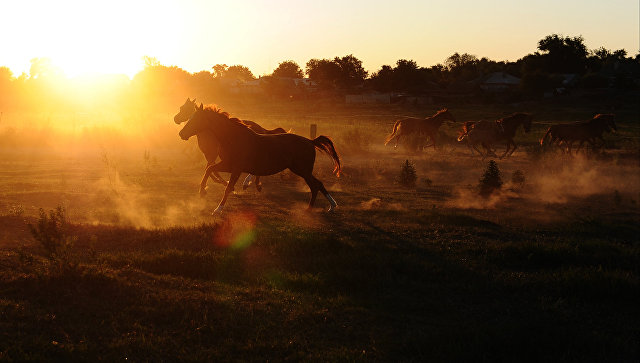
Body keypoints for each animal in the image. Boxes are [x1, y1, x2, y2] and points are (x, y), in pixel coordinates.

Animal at [178, 105, 342, 213]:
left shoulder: (236, 169)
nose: (181, 134)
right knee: (318, 184)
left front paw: (218, 209)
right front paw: (202, 191)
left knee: (315, 185)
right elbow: (209, 169)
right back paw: (329, 206)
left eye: (196, 119)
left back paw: (313, 208)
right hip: (302, 170)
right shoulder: (228, 165)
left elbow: (228, 187)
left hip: (302, 170)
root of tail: (310, 141)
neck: (233, 139)